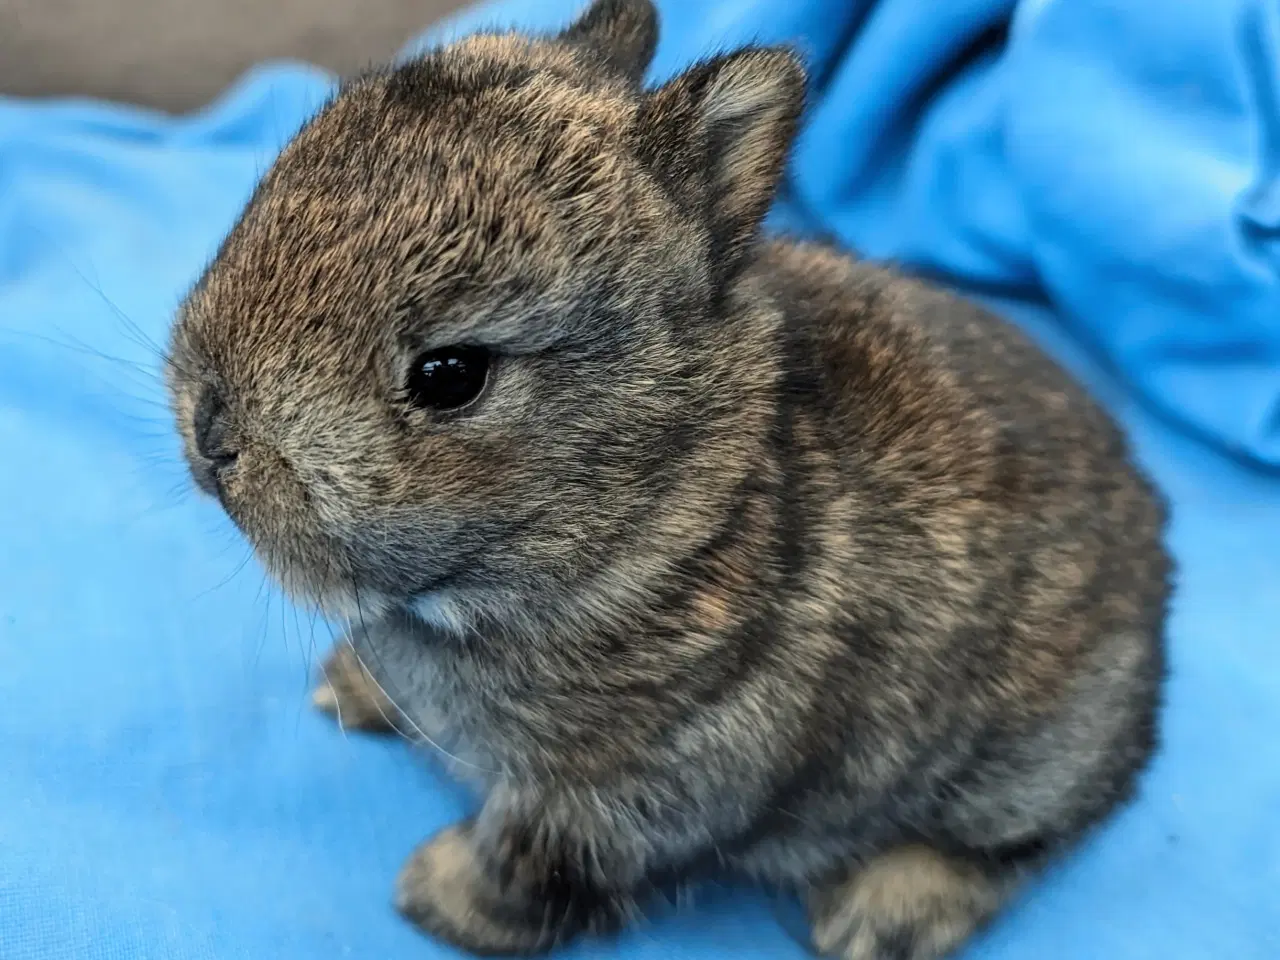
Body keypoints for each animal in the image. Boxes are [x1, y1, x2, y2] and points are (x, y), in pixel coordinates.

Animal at [167, 3, 1172, 957]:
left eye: (450, 375)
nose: (213, 432)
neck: (664, 511)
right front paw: (350, 686)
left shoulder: (625, 791)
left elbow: (531, 867)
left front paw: (432, 895)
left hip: (1020, 764)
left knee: (1014, 844)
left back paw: (878, 916)